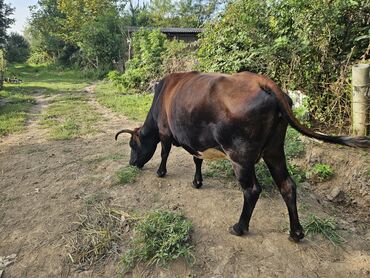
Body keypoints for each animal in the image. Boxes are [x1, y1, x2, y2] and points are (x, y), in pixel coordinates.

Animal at [115, 71, 370, 241]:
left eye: (132, 145)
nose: (131, 164)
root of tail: (261, 81)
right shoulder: (197, 140)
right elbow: (197, 159)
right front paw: (197, 182)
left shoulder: (166, 132)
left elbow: (165, 152)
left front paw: (161, 172)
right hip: (274, 149)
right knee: (287, 185)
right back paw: (296, 232)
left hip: (240, 156)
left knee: (252, 190)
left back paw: (239, 227)